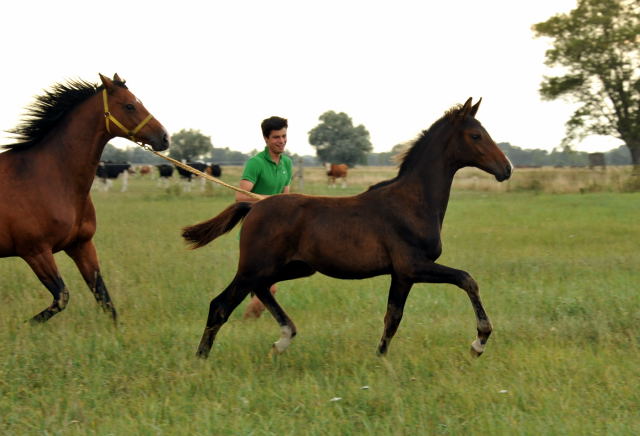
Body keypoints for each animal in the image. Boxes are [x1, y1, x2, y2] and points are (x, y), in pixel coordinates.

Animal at [182, 98, 512, 358]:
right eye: (476, 135)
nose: (506, 169)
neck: (412, 202)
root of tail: (254, 207)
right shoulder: (413, 266)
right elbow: (467, 279)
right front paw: (479, 342)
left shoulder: (402, 275)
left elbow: (392, 318)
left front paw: (381, 359)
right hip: (255, 266)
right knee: (220, 305)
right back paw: (201, 360)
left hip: (293, 267)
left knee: (259, 290)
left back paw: (283, 338)